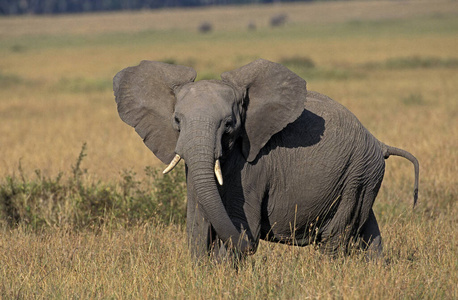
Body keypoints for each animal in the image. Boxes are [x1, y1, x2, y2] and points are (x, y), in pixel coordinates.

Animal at [112, 59, 418, 260]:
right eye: (177, 120)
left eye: (229, 125)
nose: (251, 242)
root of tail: (379, 142)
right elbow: (197, 223)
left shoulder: (255, 164)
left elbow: (239, 218)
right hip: (365, 175)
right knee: (367, 232)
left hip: (358, 174)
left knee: (335, 237)